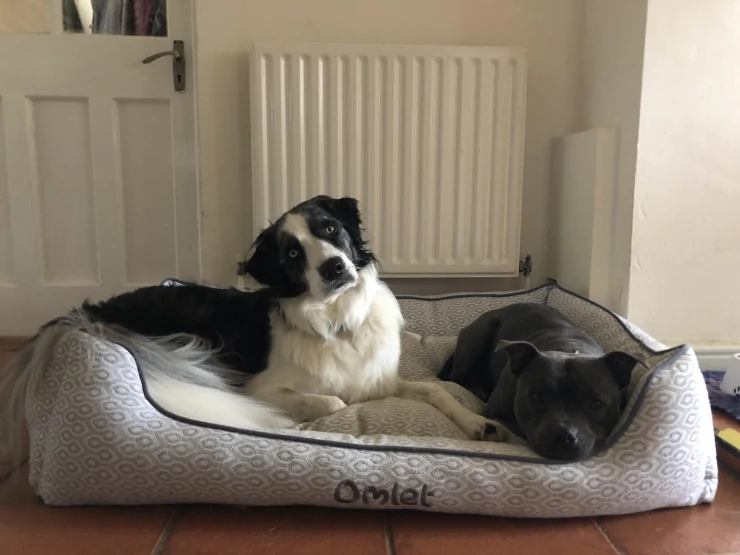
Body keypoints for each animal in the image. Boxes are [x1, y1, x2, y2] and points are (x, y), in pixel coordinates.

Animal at [0, 195, 506, 463]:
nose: (335, 267)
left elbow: (436, 390)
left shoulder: (380, 381)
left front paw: (480, 422)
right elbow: (334, 401)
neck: (337, 320)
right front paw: (306, 418)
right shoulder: (261, 387)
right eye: (292, 253)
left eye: (330, 229)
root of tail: (94, 311)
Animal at [438, 303, 645, 460]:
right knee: (457, 378)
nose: (564, 434)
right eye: (537, 397)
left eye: (596, 403)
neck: (568, 351)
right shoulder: (497, 414)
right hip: (479, 336)